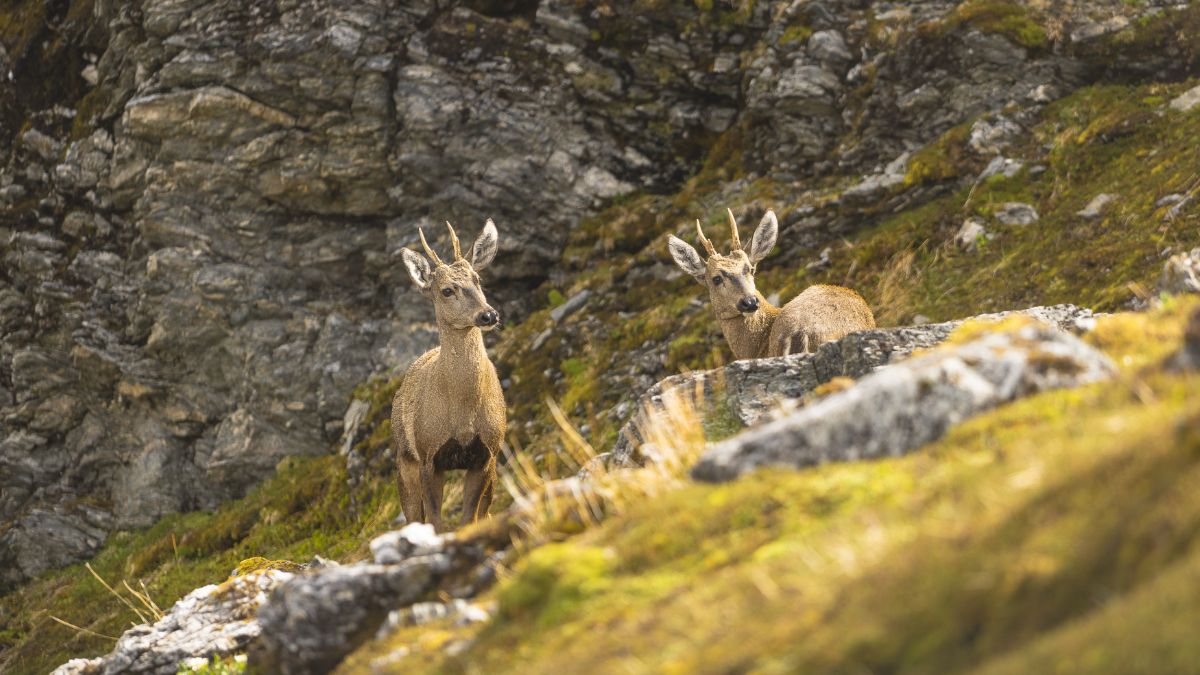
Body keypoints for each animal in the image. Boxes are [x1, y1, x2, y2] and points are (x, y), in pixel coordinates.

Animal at [392, 220, 505, 532]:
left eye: (478, 279)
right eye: (446, 291)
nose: (489, 315)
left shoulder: (487, 453)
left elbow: (470, 517)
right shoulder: (428, 455)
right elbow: (434, 519)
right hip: (404, 459)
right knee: (413, 517)